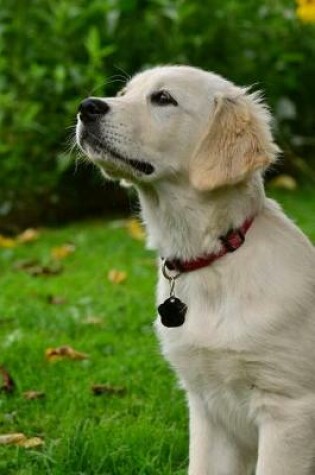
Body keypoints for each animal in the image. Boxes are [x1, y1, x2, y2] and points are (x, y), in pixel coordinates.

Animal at [76, 65, 315, 474]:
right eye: (123, 93)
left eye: (163, 98)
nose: (86, 106)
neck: (212, 257)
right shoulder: (207, 406)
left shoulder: (289, 408)